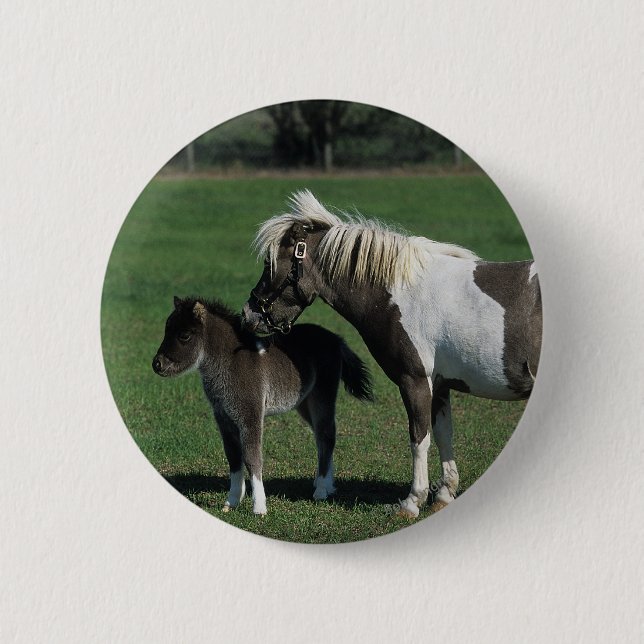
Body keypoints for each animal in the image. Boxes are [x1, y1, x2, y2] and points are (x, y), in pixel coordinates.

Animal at [152, 296, 373, 515]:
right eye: (166, 329)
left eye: (184, 335)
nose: (157, 364)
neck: (230, 362)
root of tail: (336, 339)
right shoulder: (223, 418)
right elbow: (233, 457)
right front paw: (231, 501)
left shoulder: (250, 414)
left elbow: (252, 458)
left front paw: (259, 508)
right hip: (304, 402)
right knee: (322, 436)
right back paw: (327, 485)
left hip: (322, 395)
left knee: (326, 435)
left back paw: (320, 491)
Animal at [241, 190, 542, 517]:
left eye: (271, 263)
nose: (249, 314)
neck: (400, 294)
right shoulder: (440, 385)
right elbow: (443, 435)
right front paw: (443, 495)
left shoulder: (415, 381)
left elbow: (418, 439)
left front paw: (412, 502)